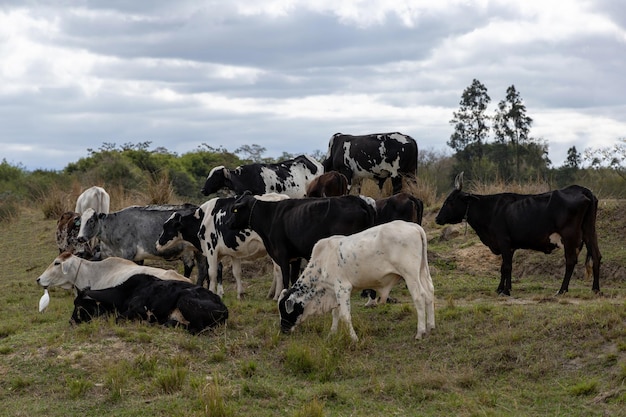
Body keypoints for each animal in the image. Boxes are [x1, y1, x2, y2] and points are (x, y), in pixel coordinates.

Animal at [70, 272, 227, 334]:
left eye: (79, 305)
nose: (70, 321)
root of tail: (224, 308)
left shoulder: (139, 310)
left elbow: (118, 318)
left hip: (185, 300)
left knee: (196, 329)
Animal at [278, 219, 434, 340]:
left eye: (284, 310)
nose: (283, 330)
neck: (322, 263)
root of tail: (413, 226)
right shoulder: (335, 292)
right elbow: (335, 313)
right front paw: (332, 333)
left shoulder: (342, 289)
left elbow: (345, 316)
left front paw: (354, 338)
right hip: (422, 272)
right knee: (429, 293)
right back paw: (431, 326)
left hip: (410, 275)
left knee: (420, 296)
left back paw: (420, 332)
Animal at [434, 172, 600, 296]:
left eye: (449, 201)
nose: (437, 218)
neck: (490, 209)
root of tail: (581, 189)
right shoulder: (510, 246)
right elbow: (504, 266)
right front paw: (502, 288)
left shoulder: (503, 241)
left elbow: (507, 266)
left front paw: (505, 291)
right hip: (589, 231)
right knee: (596, 256)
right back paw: (595, 289)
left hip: (570, 236)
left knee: (571, 260)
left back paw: (562, 290)